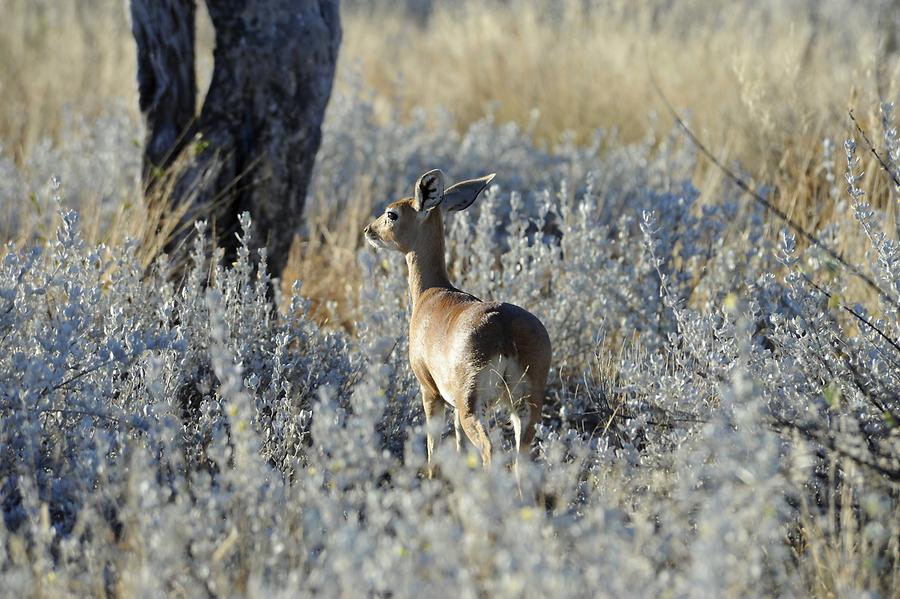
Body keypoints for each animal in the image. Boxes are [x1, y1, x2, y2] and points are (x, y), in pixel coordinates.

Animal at [364, 170, 548, 474]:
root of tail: (504, 328)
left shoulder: (430, 391)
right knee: (520, 458)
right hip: (523, 407)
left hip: (472, 406)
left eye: (392, 213)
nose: (369, 230)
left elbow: (432, 442)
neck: (432, 292)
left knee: (489, 450)